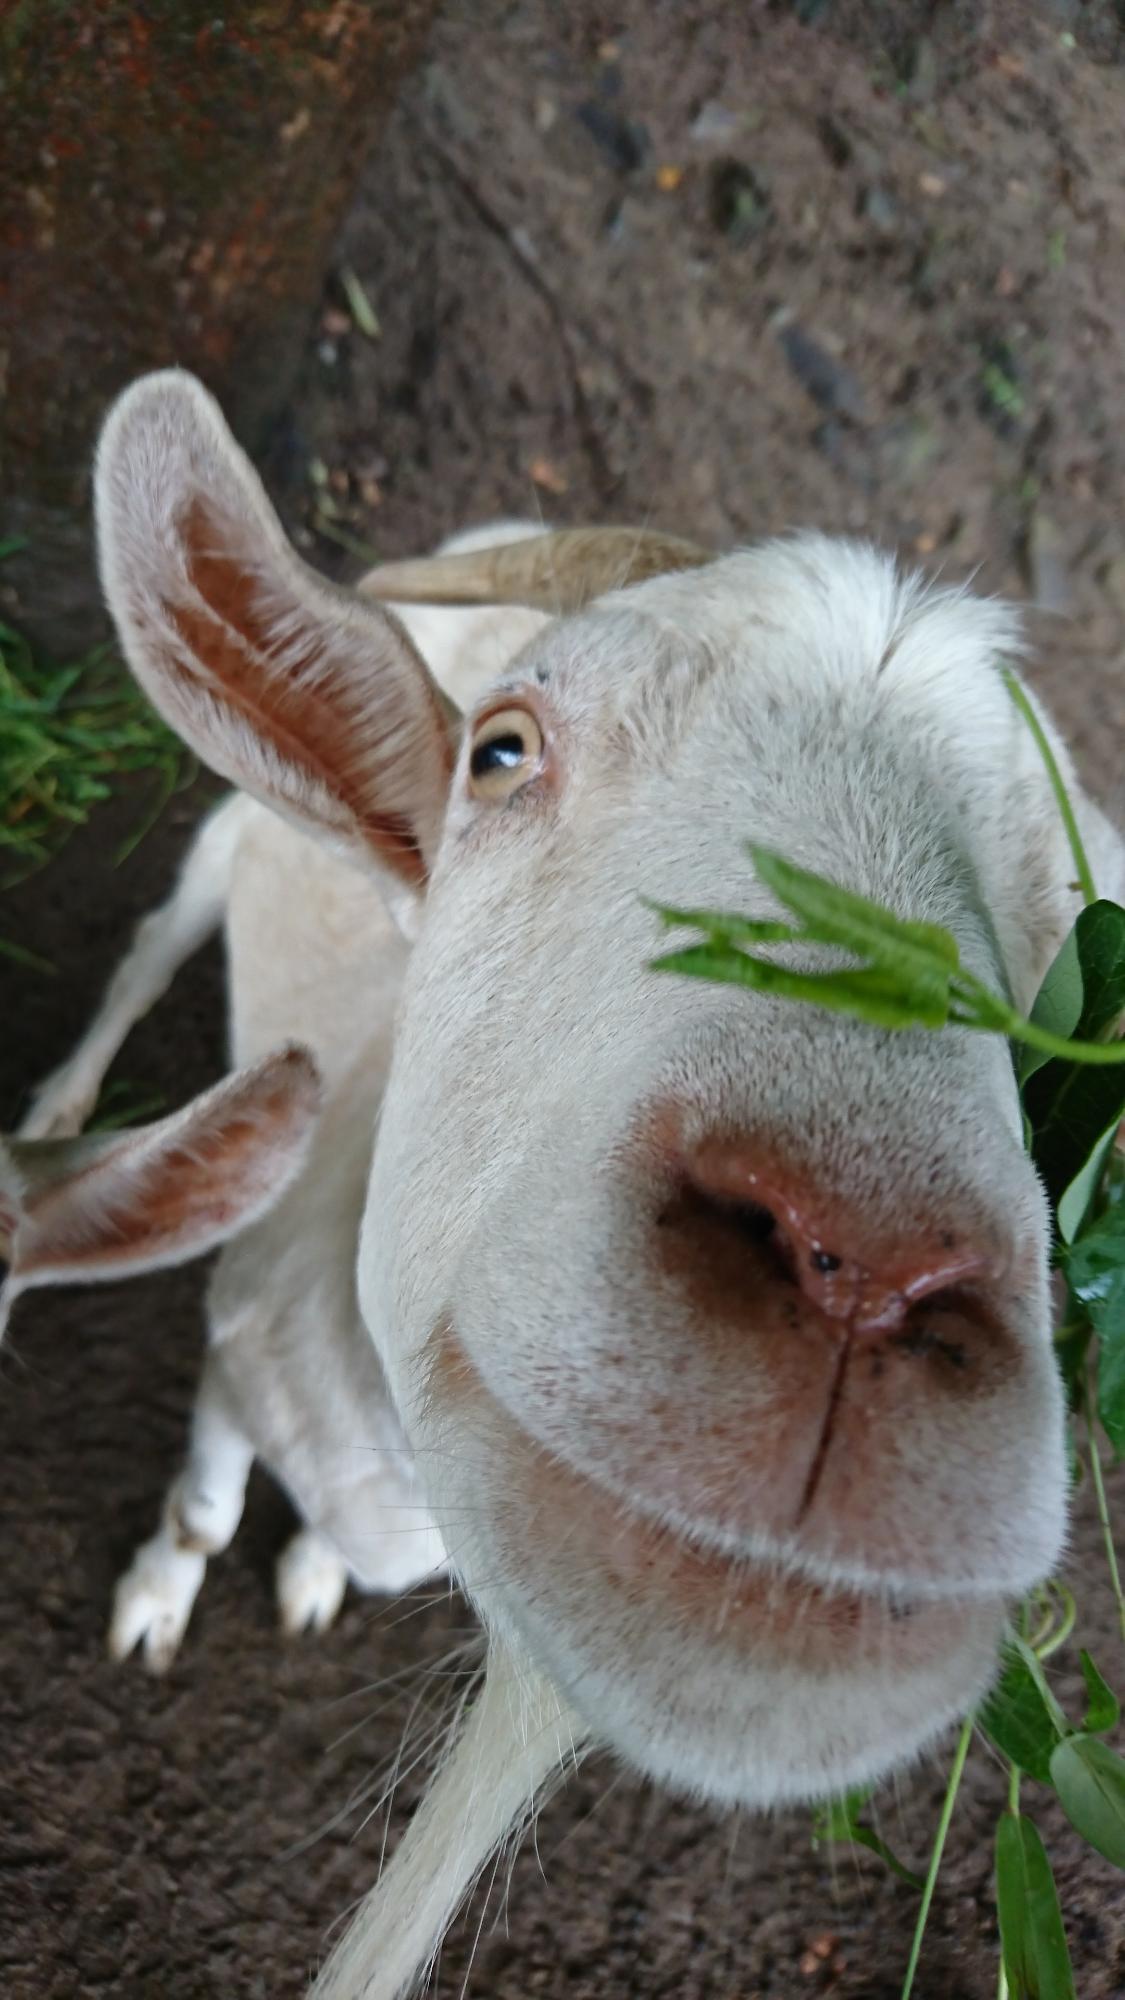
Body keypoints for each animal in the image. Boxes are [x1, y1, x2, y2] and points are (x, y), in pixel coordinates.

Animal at [28, 364, 1120, 2000]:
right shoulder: (235, 1320)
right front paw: (160, 1595)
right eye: (501, 751)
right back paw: (69, 1100)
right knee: (158, 936)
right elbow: (209, 1507)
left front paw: (307, 1575)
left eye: (1073, 978)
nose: (860, 1271)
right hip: (228, 845)